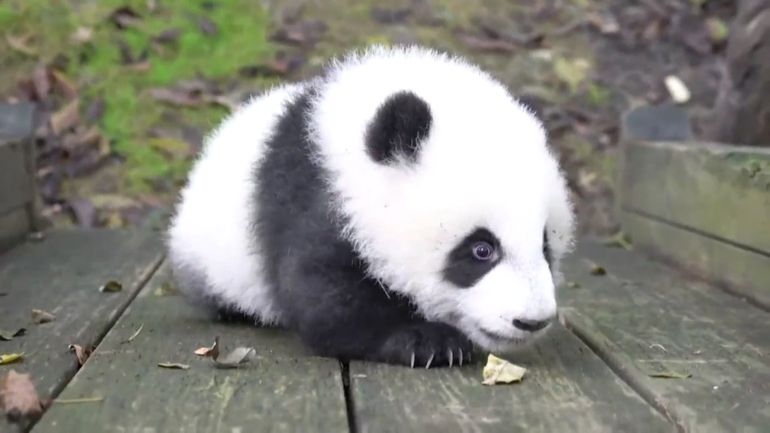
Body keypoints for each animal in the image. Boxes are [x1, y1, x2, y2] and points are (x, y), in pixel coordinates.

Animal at [167, 45, 575, 368]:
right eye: (481, 249)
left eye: (545, 245)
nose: (532, 321)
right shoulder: (317, 196)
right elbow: (327, 297)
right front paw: (429, 341)